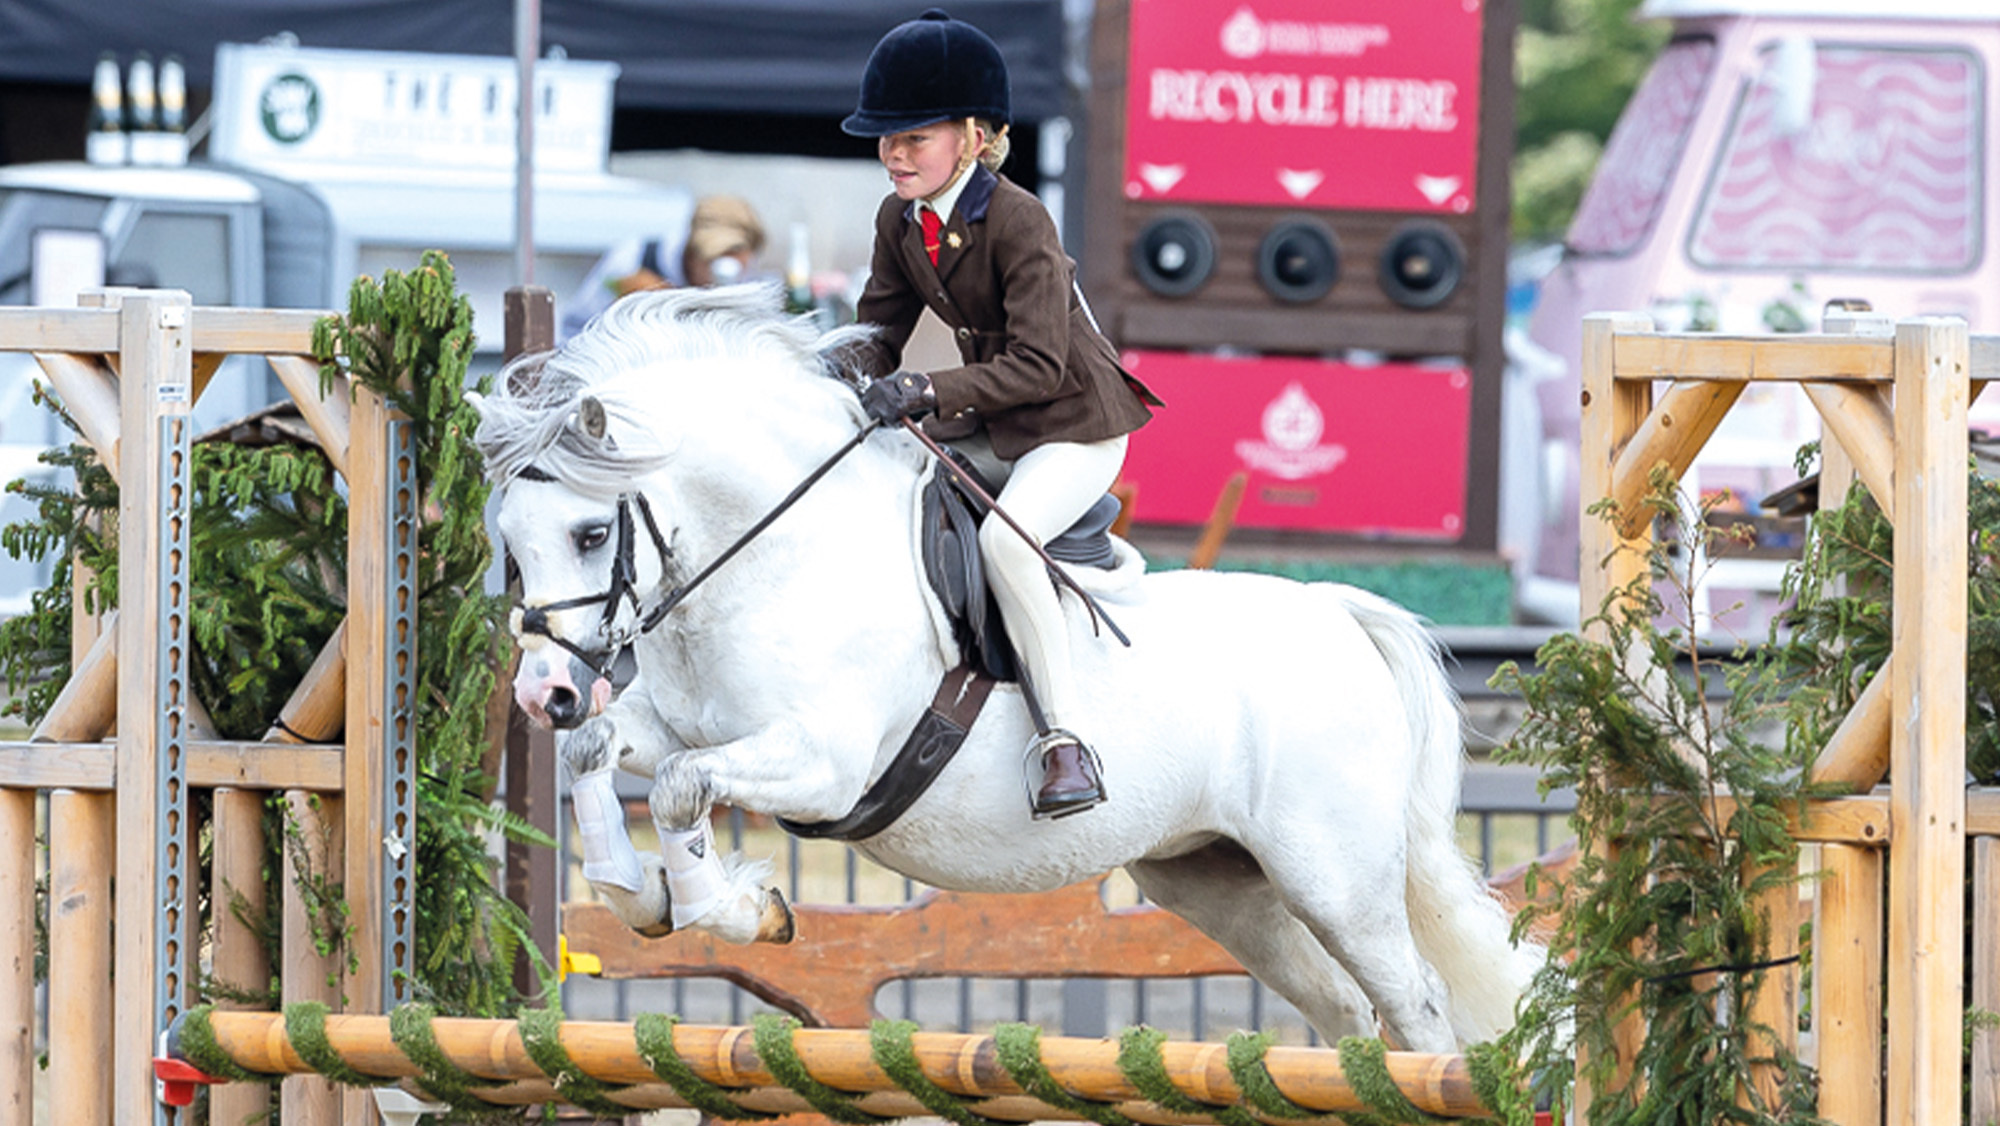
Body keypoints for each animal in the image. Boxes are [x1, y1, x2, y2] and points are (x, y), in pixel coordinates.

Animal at [473, 285, 1540, 1052]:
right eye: (509, 545)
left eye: (590, 531)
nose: (543, 691)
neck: (773, 556)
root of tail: (1336, 611)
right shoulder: (680, 724)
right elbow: (601, 756)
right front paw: (638, 891)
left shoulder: (822, 764)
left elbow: (684, 790)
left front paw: (726, 906)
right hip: (1219, 880)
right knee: (1347, 1011)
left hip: (1335, 876)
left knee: (1415, 1004)